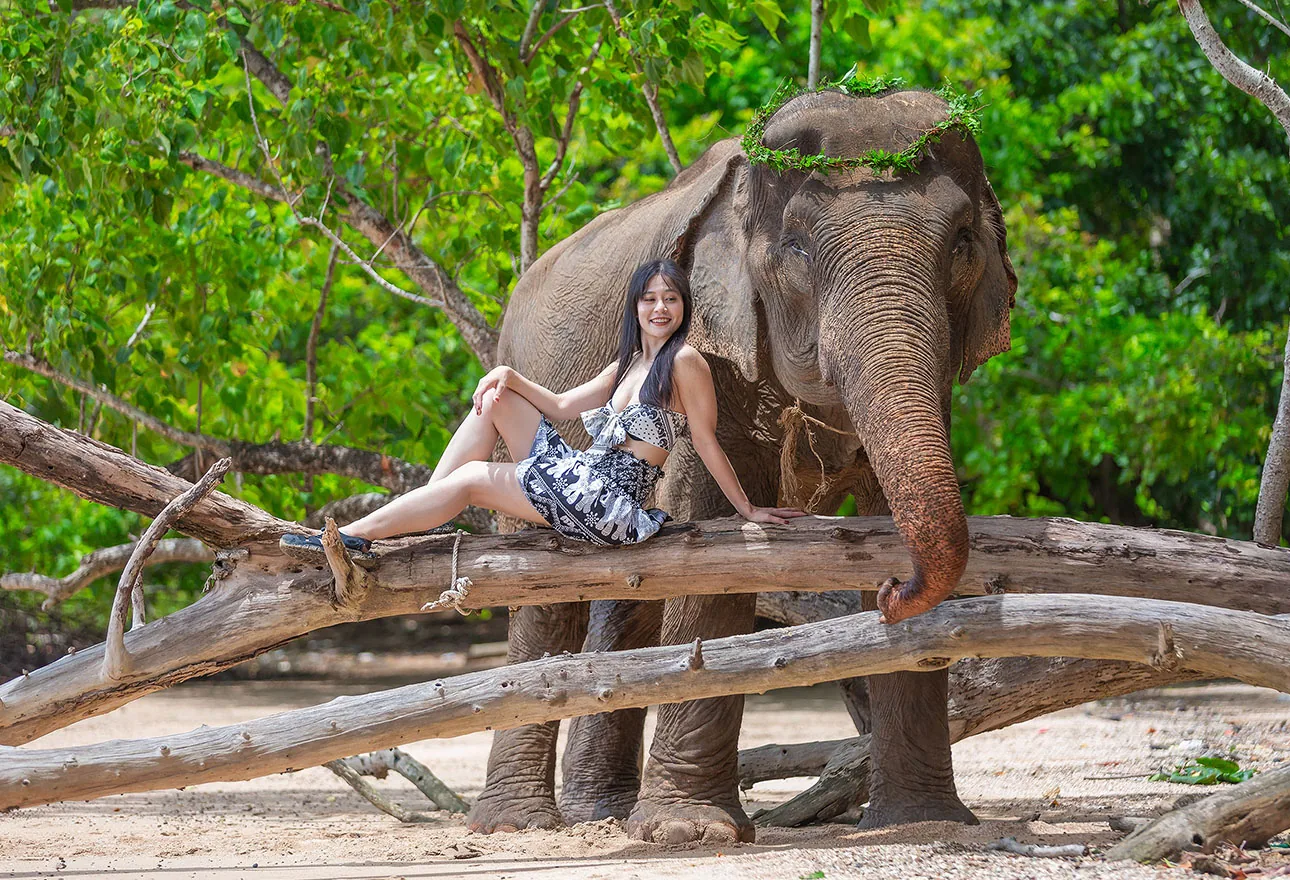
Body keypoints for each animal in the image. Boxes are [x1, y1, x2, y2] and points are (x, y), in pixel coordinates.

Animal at [464, 87, 1017, 843]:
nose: (890, 593)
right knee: (543, 601)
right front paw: (688, 831)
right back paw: (518, 825)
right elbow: (710, 546)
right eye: (797, 247)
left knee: (627, 605)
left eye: (962, 243)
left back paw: (600, 813)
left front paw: (925, 822)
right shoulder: (710, 352)